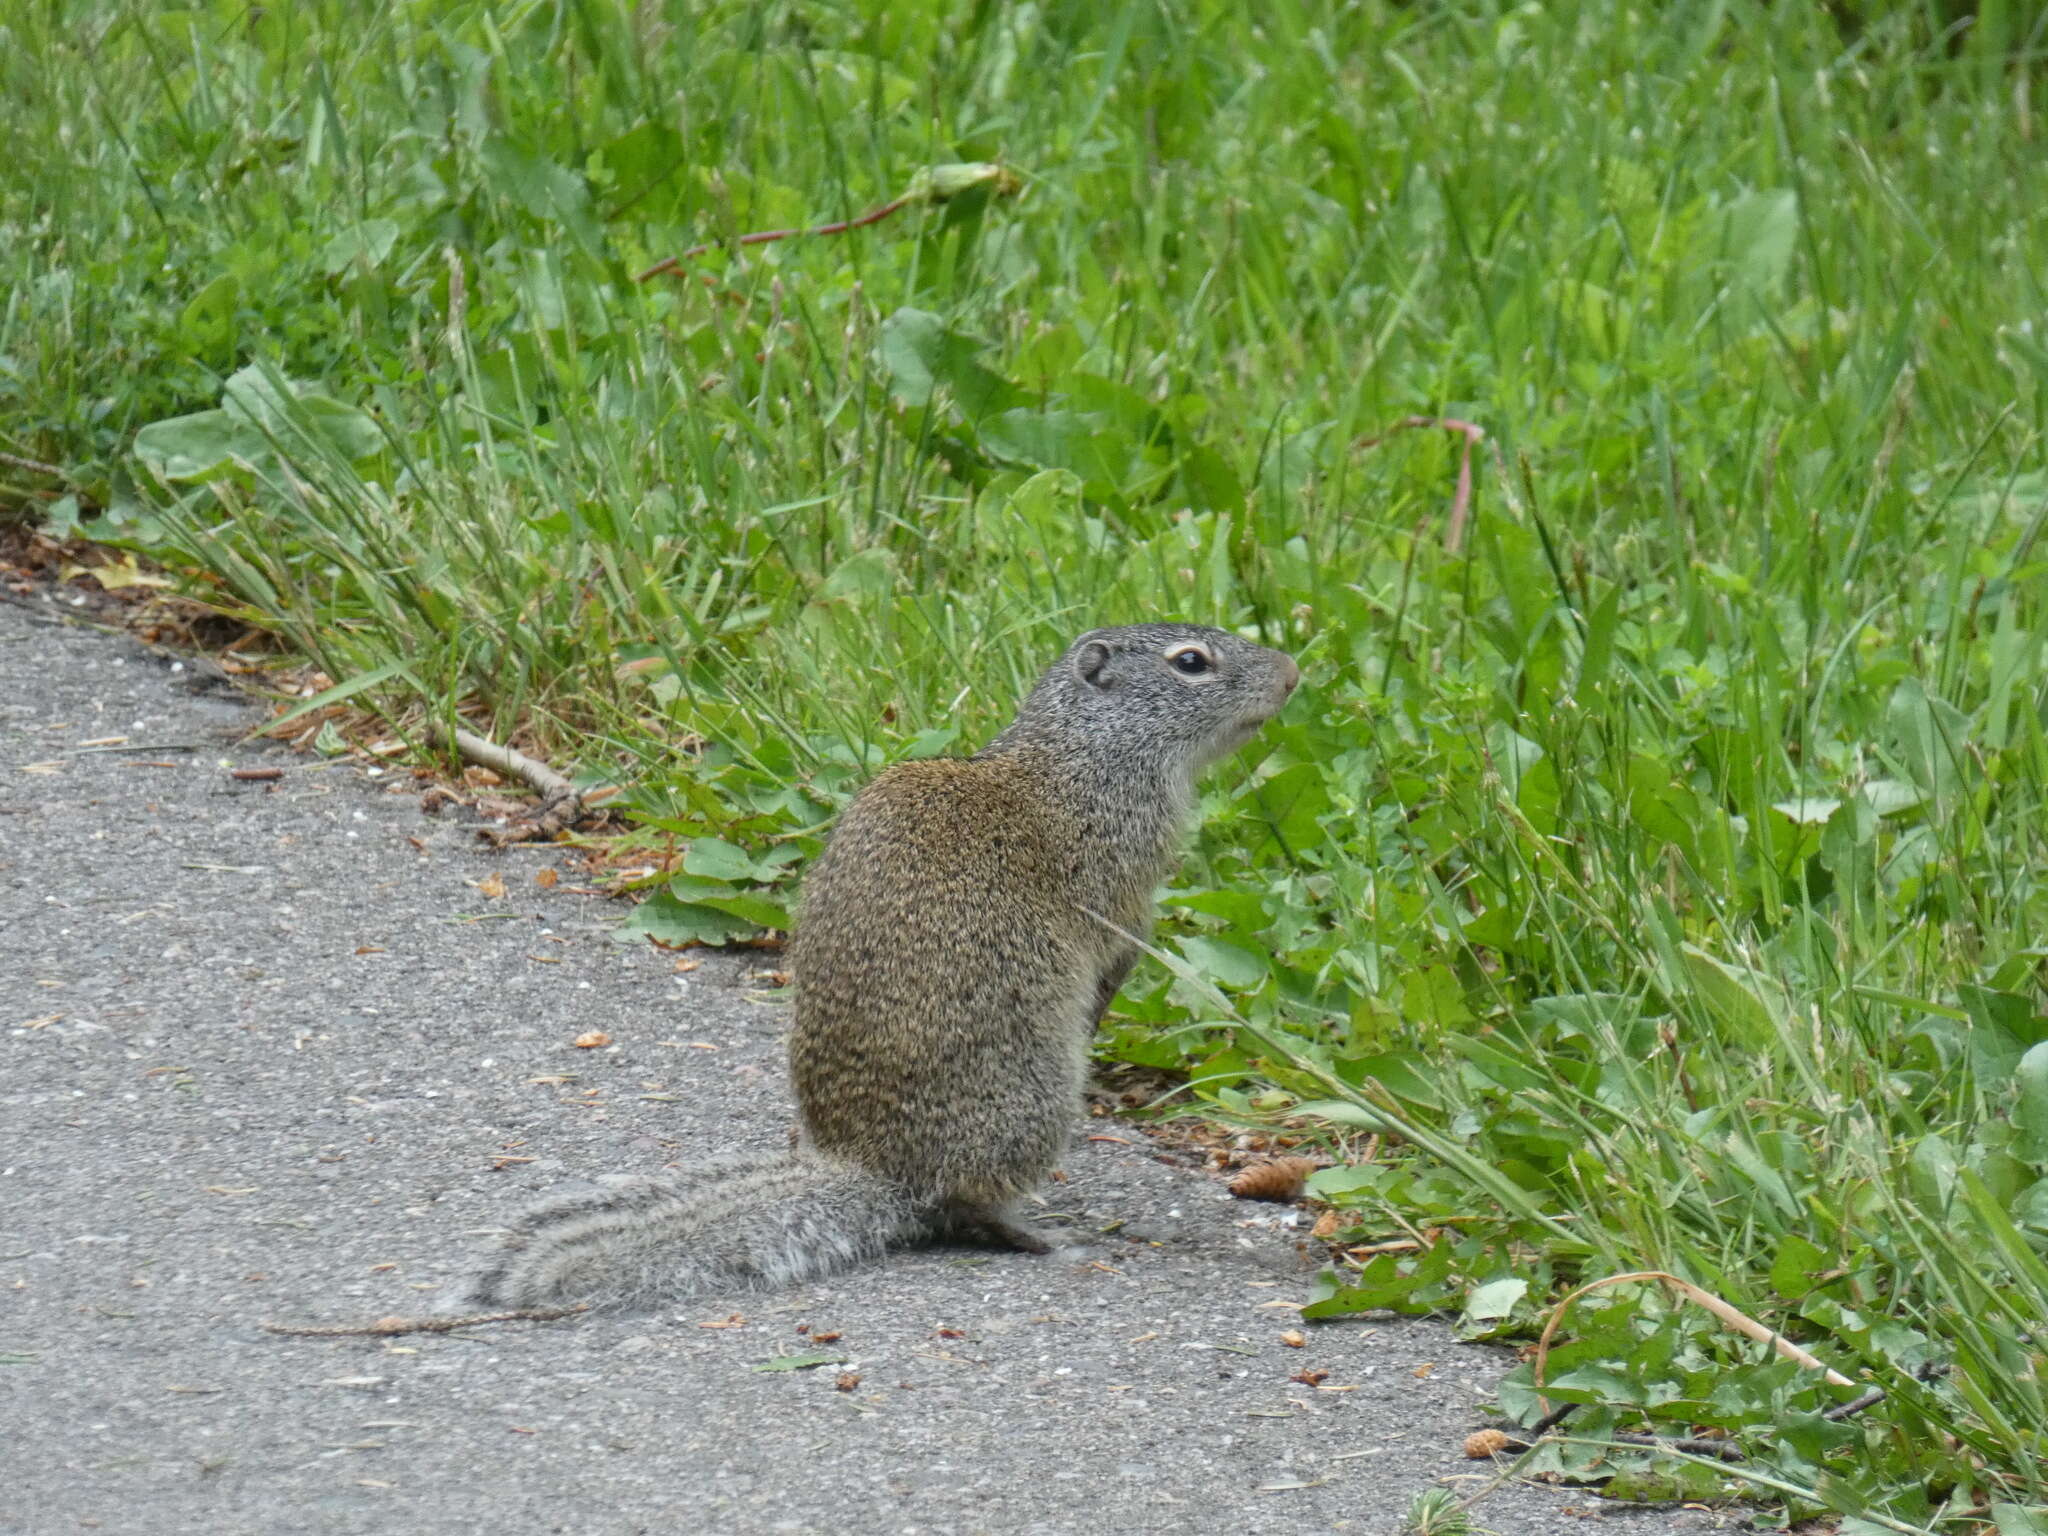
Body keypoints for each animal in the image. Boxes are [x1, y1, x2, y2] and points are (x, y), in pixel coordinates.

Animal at [462, 622, 1294, 1310]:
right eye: (1191, 662)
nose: (1291, 673)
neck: (1083, 753)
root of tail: (877, 1168)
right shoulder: (1119, 879)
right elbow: (1119, 945)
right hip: (1036, 1097)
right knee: (962, 1206)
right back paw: (1034, 1233)